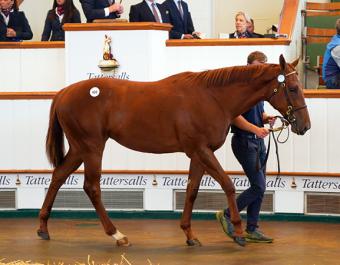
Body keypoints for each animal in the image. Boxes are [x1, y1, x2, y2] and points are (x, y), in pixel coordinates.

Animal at [37, 54, 310, 246]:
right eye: (293, 88)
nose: (304, 125)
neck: (212, 98)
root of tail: (64, 92)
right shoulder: (202, 151)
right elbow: (228, 185)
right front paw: (238, 232)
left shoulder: (198, 154)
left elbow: (191, 191)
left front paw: (190, 234)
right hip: (92, 148)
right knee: (91, 187)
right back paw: (117, 234)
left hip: (79, 149)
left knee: (58, 176)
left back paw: (43, 228)